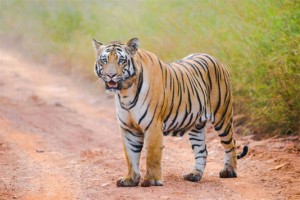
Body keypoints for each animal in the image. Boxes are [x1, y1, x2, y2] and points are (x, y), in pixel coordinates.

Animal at [92, 37, 247, 188]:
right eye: (104, 60)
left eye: (121, 60)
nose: (110, 75)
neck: (126, 92)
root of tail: (216, 59)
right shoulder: (128, 128)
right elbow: (130, 156)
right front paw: (130, 179)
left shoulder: (153, 125)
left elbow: (152, 155)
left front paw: (152, 181)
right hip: (196, 125)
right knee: (202, 150)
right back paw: (194, 175)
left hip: (223, 117)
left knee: (231, 144)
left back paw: (229, 171)